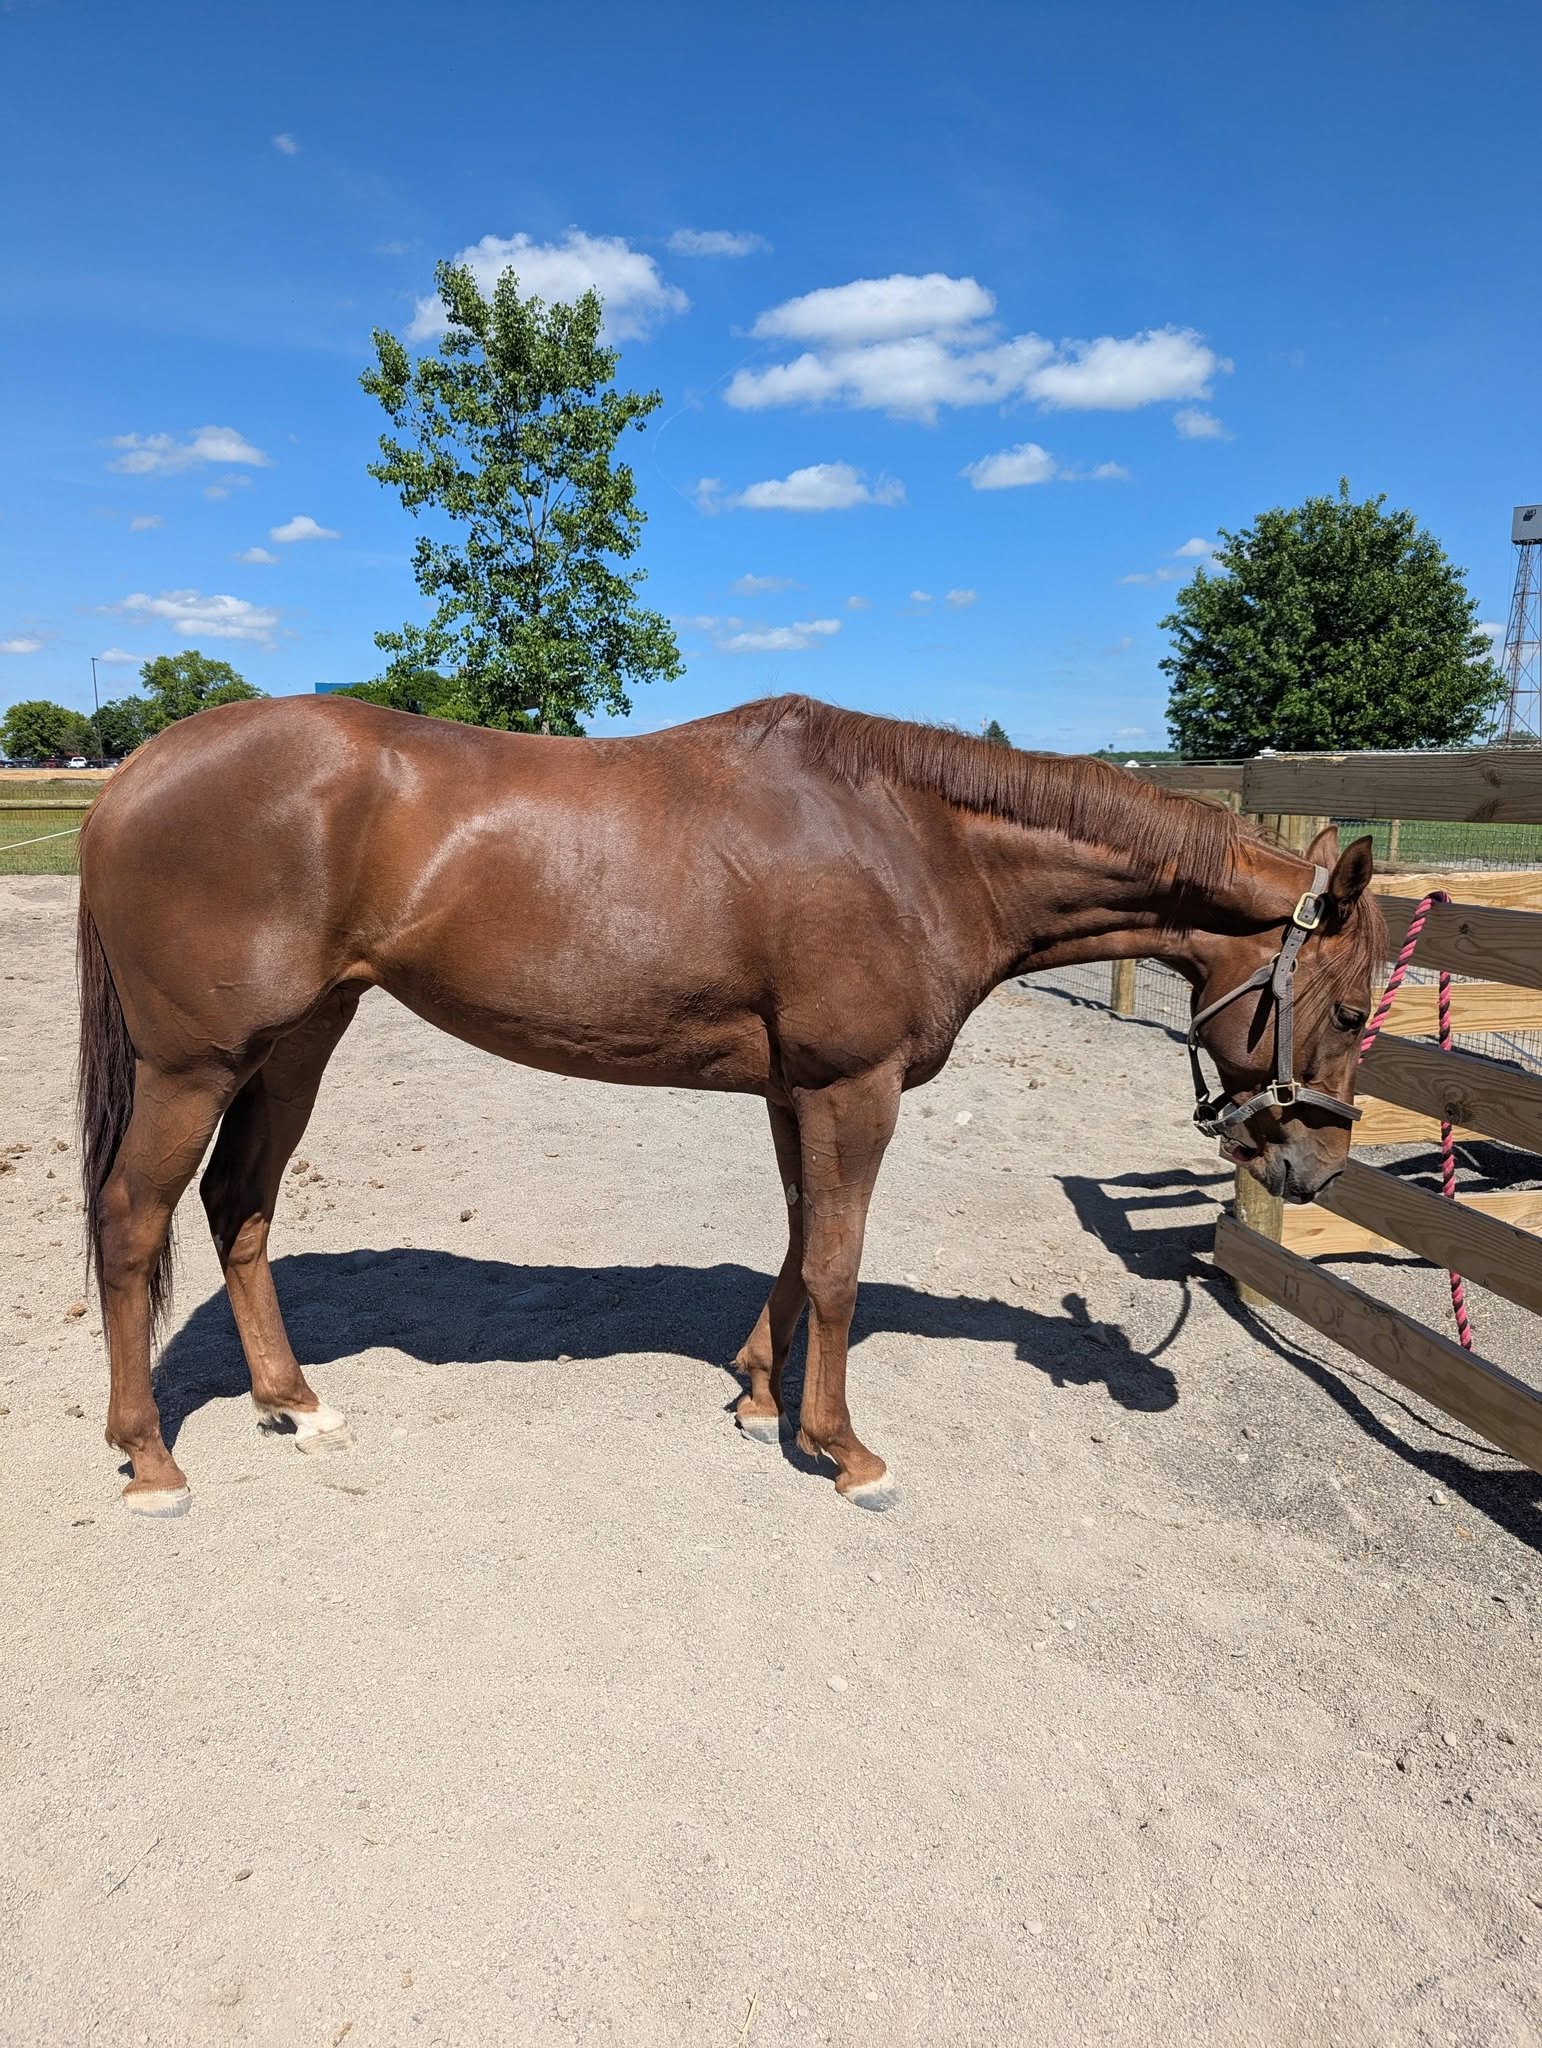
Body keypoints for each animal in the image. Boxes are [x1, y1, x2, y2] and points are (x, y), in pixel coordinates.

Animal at [76, 692, 1384, 1518]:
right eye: (1359, 1003)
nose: (1314, 1169)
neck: (917, 841)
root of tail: (134, 774)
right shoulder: (852, 1087)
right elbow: (841, 1263)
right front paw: (846, 1451)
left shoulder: (796, 1089)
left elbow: (803, 1240)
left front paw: (761, 1396)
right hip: (195, 1064)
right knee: (132, 1218)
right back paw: (150, 1459)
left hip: (299, 1042)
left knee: (239, 1205)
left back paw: (291, 1402)